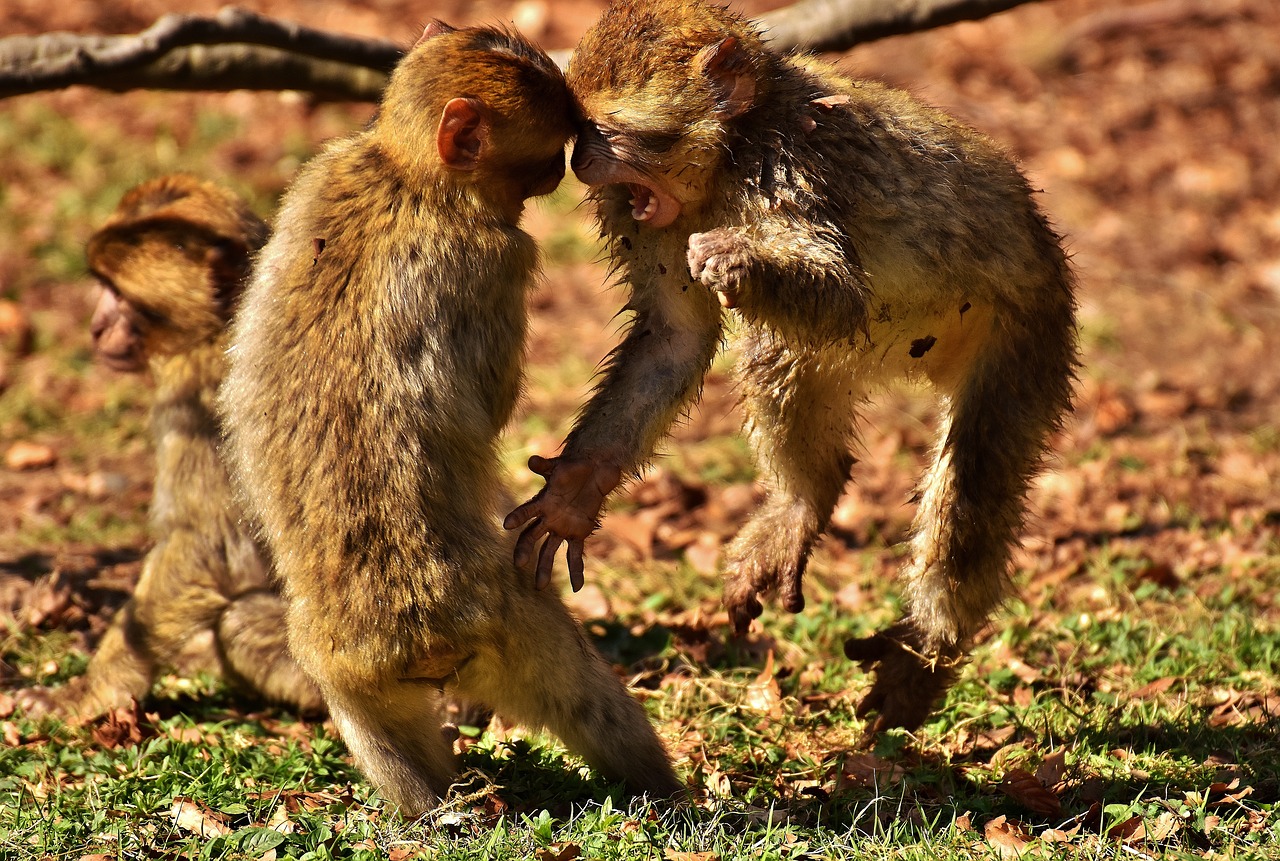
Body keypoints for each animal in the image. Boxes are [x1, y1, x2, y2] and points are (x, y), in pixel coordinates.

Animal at [16, 173, 325, 716]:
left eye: (120, 295)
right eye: (102, 287)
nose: (96, 326)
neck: (220, 326)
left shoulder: (201, 400)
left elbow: (207, 548)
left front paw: (89, 692)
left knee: (240, 621)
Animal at [217, 21, 680, 813]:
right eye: (548, 149)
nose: (564, 172)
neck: (410, 175)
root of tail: (420, 640)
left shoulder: (322, 167)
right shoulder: (501, 255)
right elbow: (489, 400)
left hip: (342, 662)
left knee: (375, 723)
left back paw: (429, 811)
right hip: (504, 615)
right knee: (585, 693)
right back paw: (670, 793)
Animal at [504, 0, 1075, 731]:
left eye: (610, 133)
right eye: (579, 129)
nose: (582, 160)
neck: (726, 162)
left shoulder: (786, 168)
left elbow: (841, 290)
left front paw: (737, 260)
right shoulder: (645, 214)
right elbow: (674, 339)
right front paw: (575, 491)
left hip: (1031, 325)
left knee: (973, 486)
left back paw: (927, 648)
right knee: (781, 355)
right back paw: (807, 500)